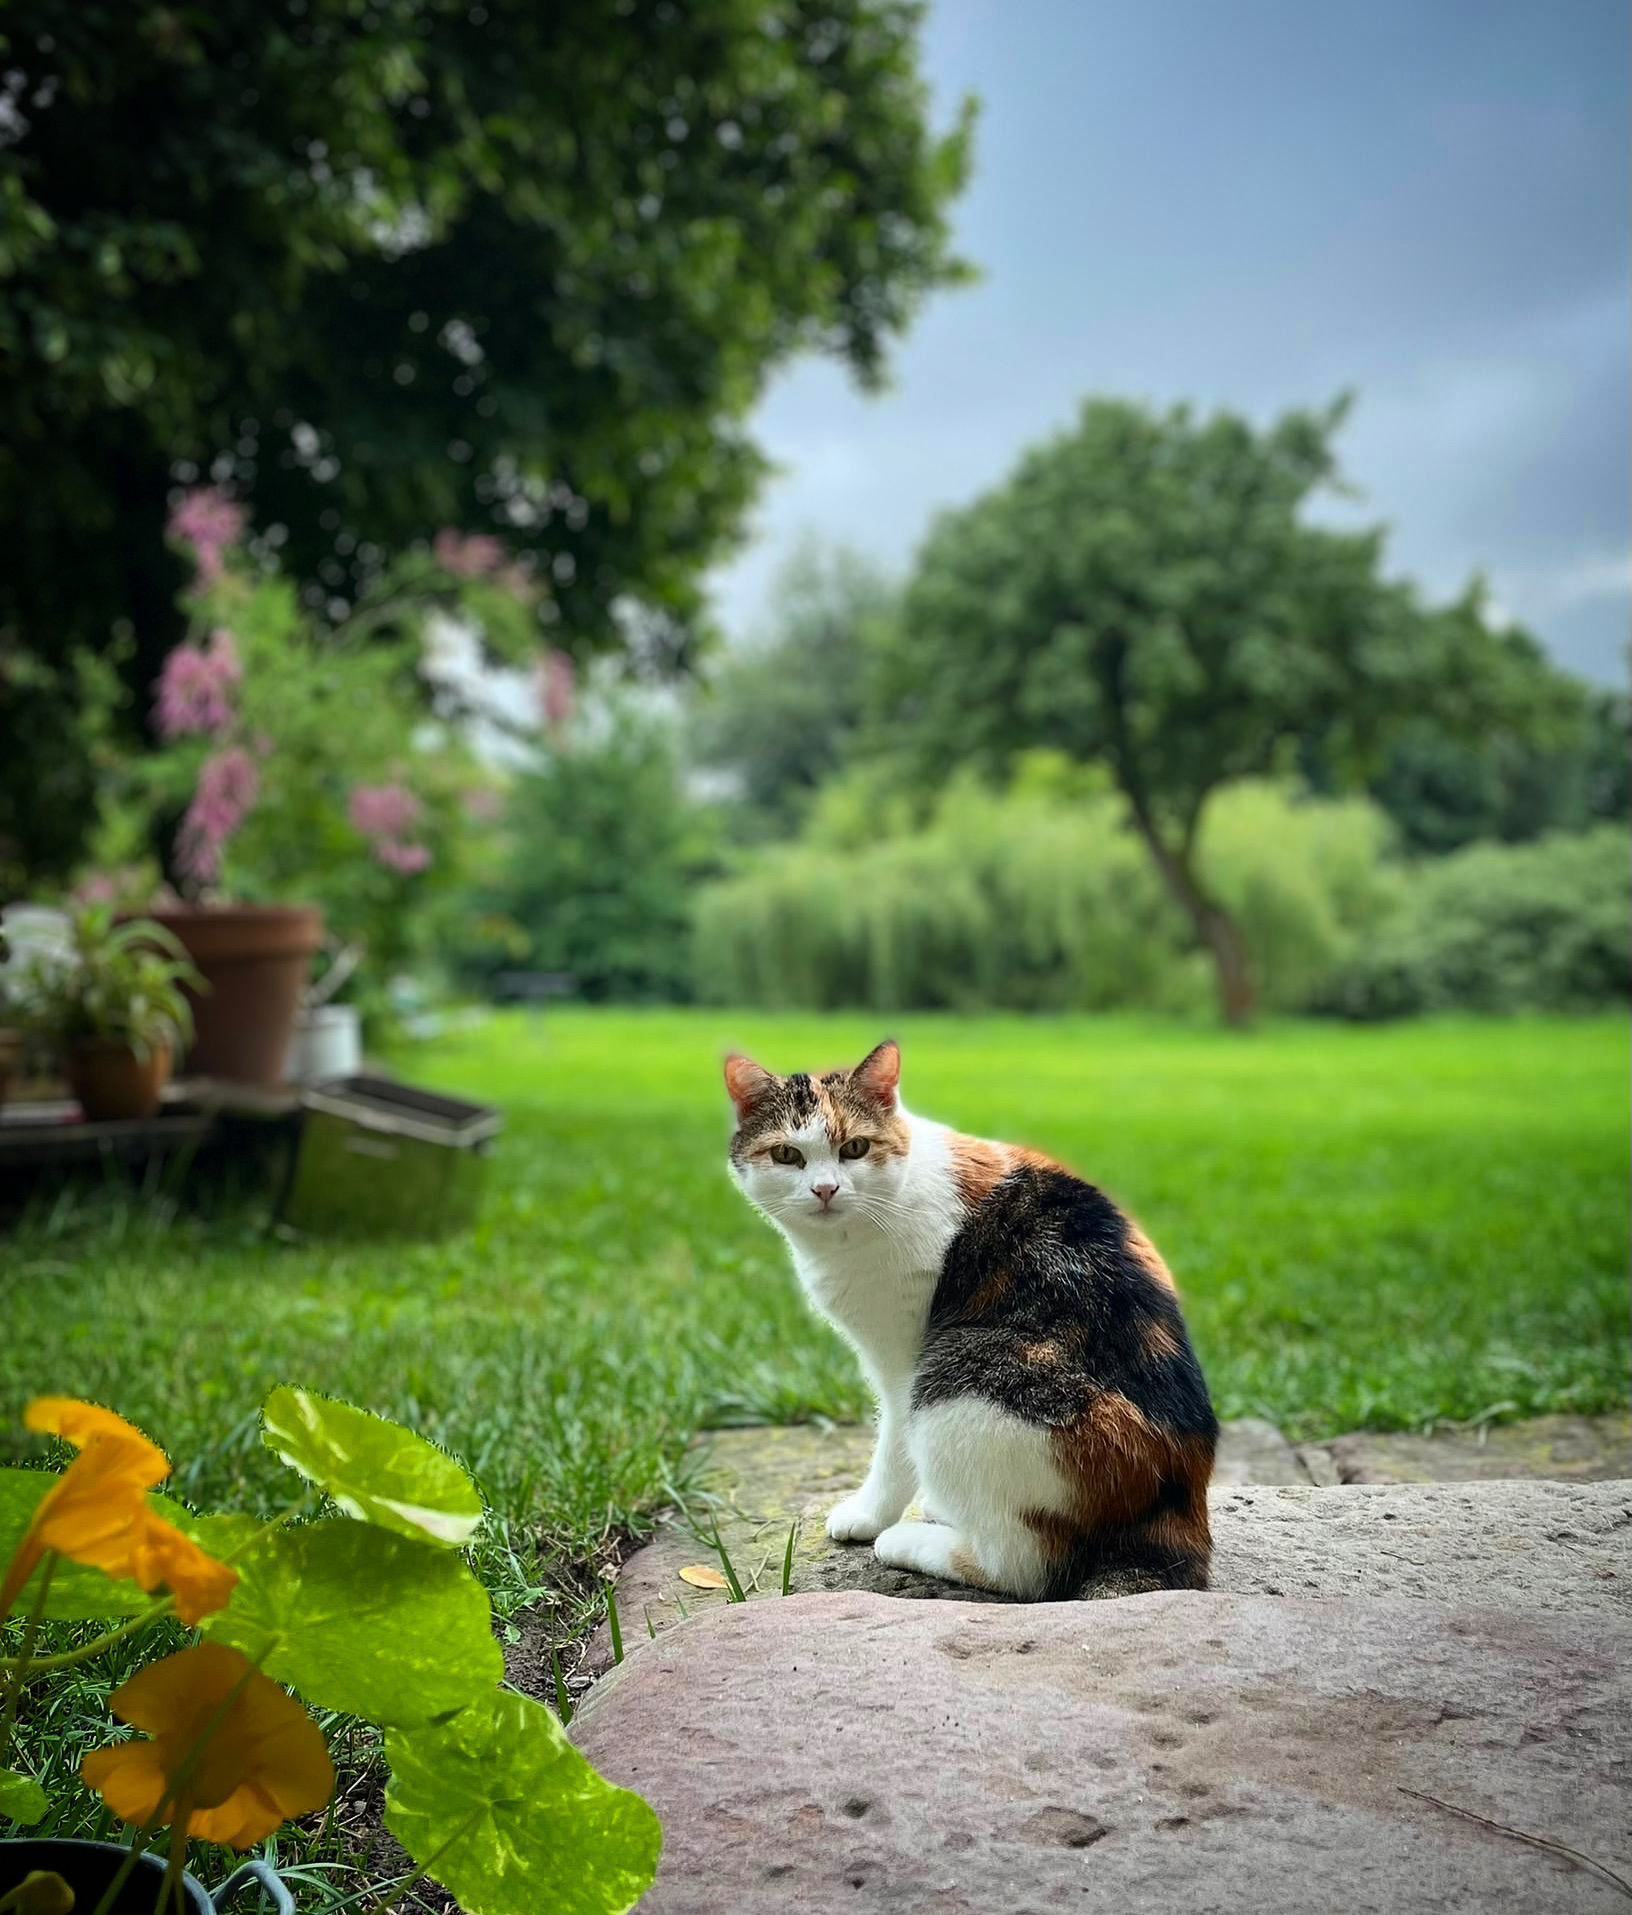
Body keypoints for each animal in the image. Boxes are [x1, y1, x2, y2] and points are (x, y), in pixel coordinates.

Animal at [724, 1041, 1210, 1593]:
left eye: (855, 1149)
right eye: (788, 1155)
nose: (825, 1190)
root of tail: (1180, 1488)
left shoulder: (903, 1364)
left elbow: (893, 1447)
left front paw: (869, 1514)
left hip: (955, 1382)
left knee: (1022, 1566)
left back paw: (909, 1541)